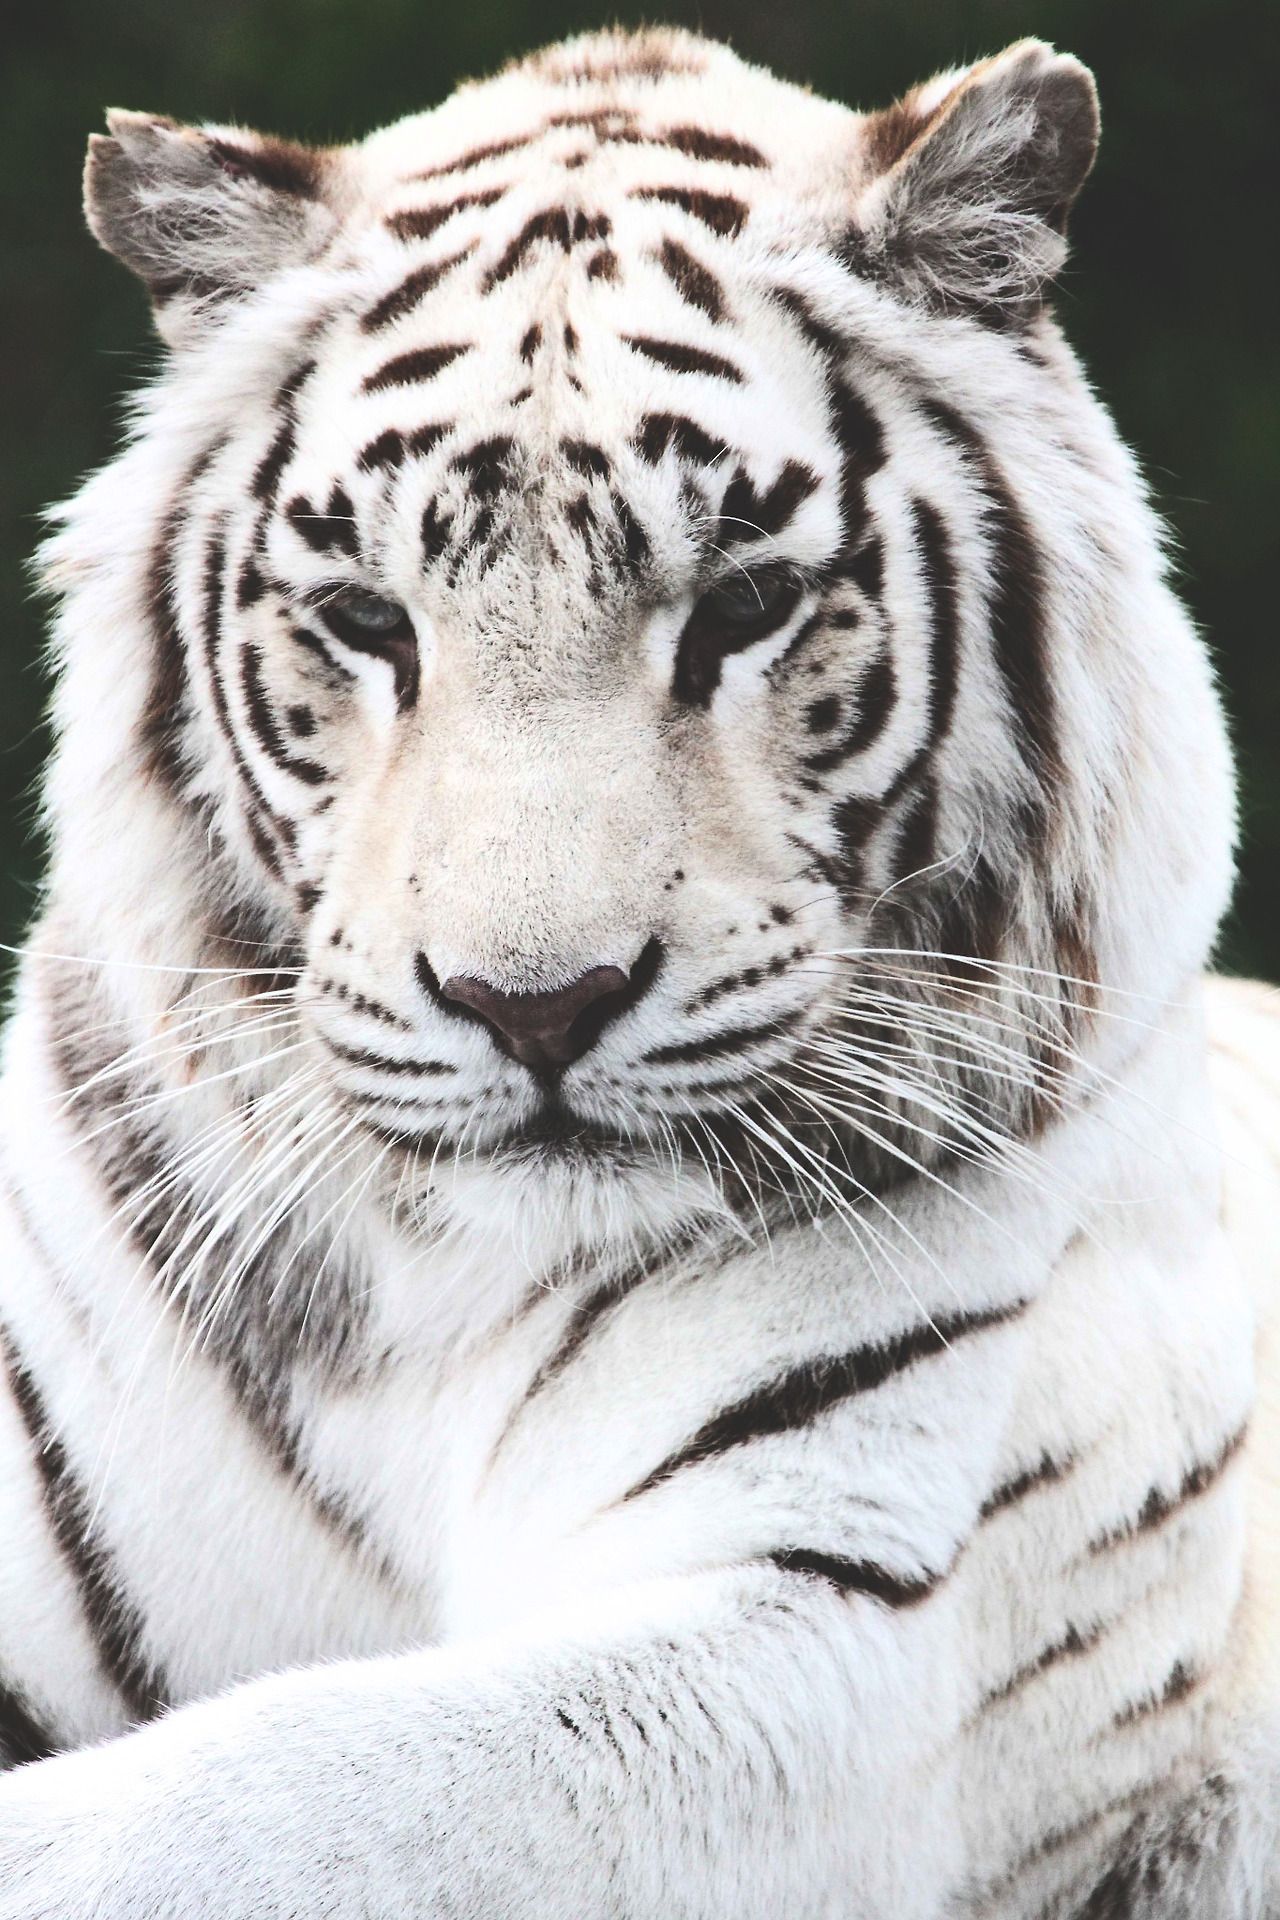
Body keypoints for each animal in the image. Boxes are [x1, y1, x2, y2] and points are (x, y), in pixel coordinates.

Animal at [0, 22, 1277, 1918]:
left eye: (745, 606)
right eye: (367, 621)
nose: (534, 1005)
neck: (438, 1298)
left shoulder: (834, 1629)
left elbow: (252, 1802)